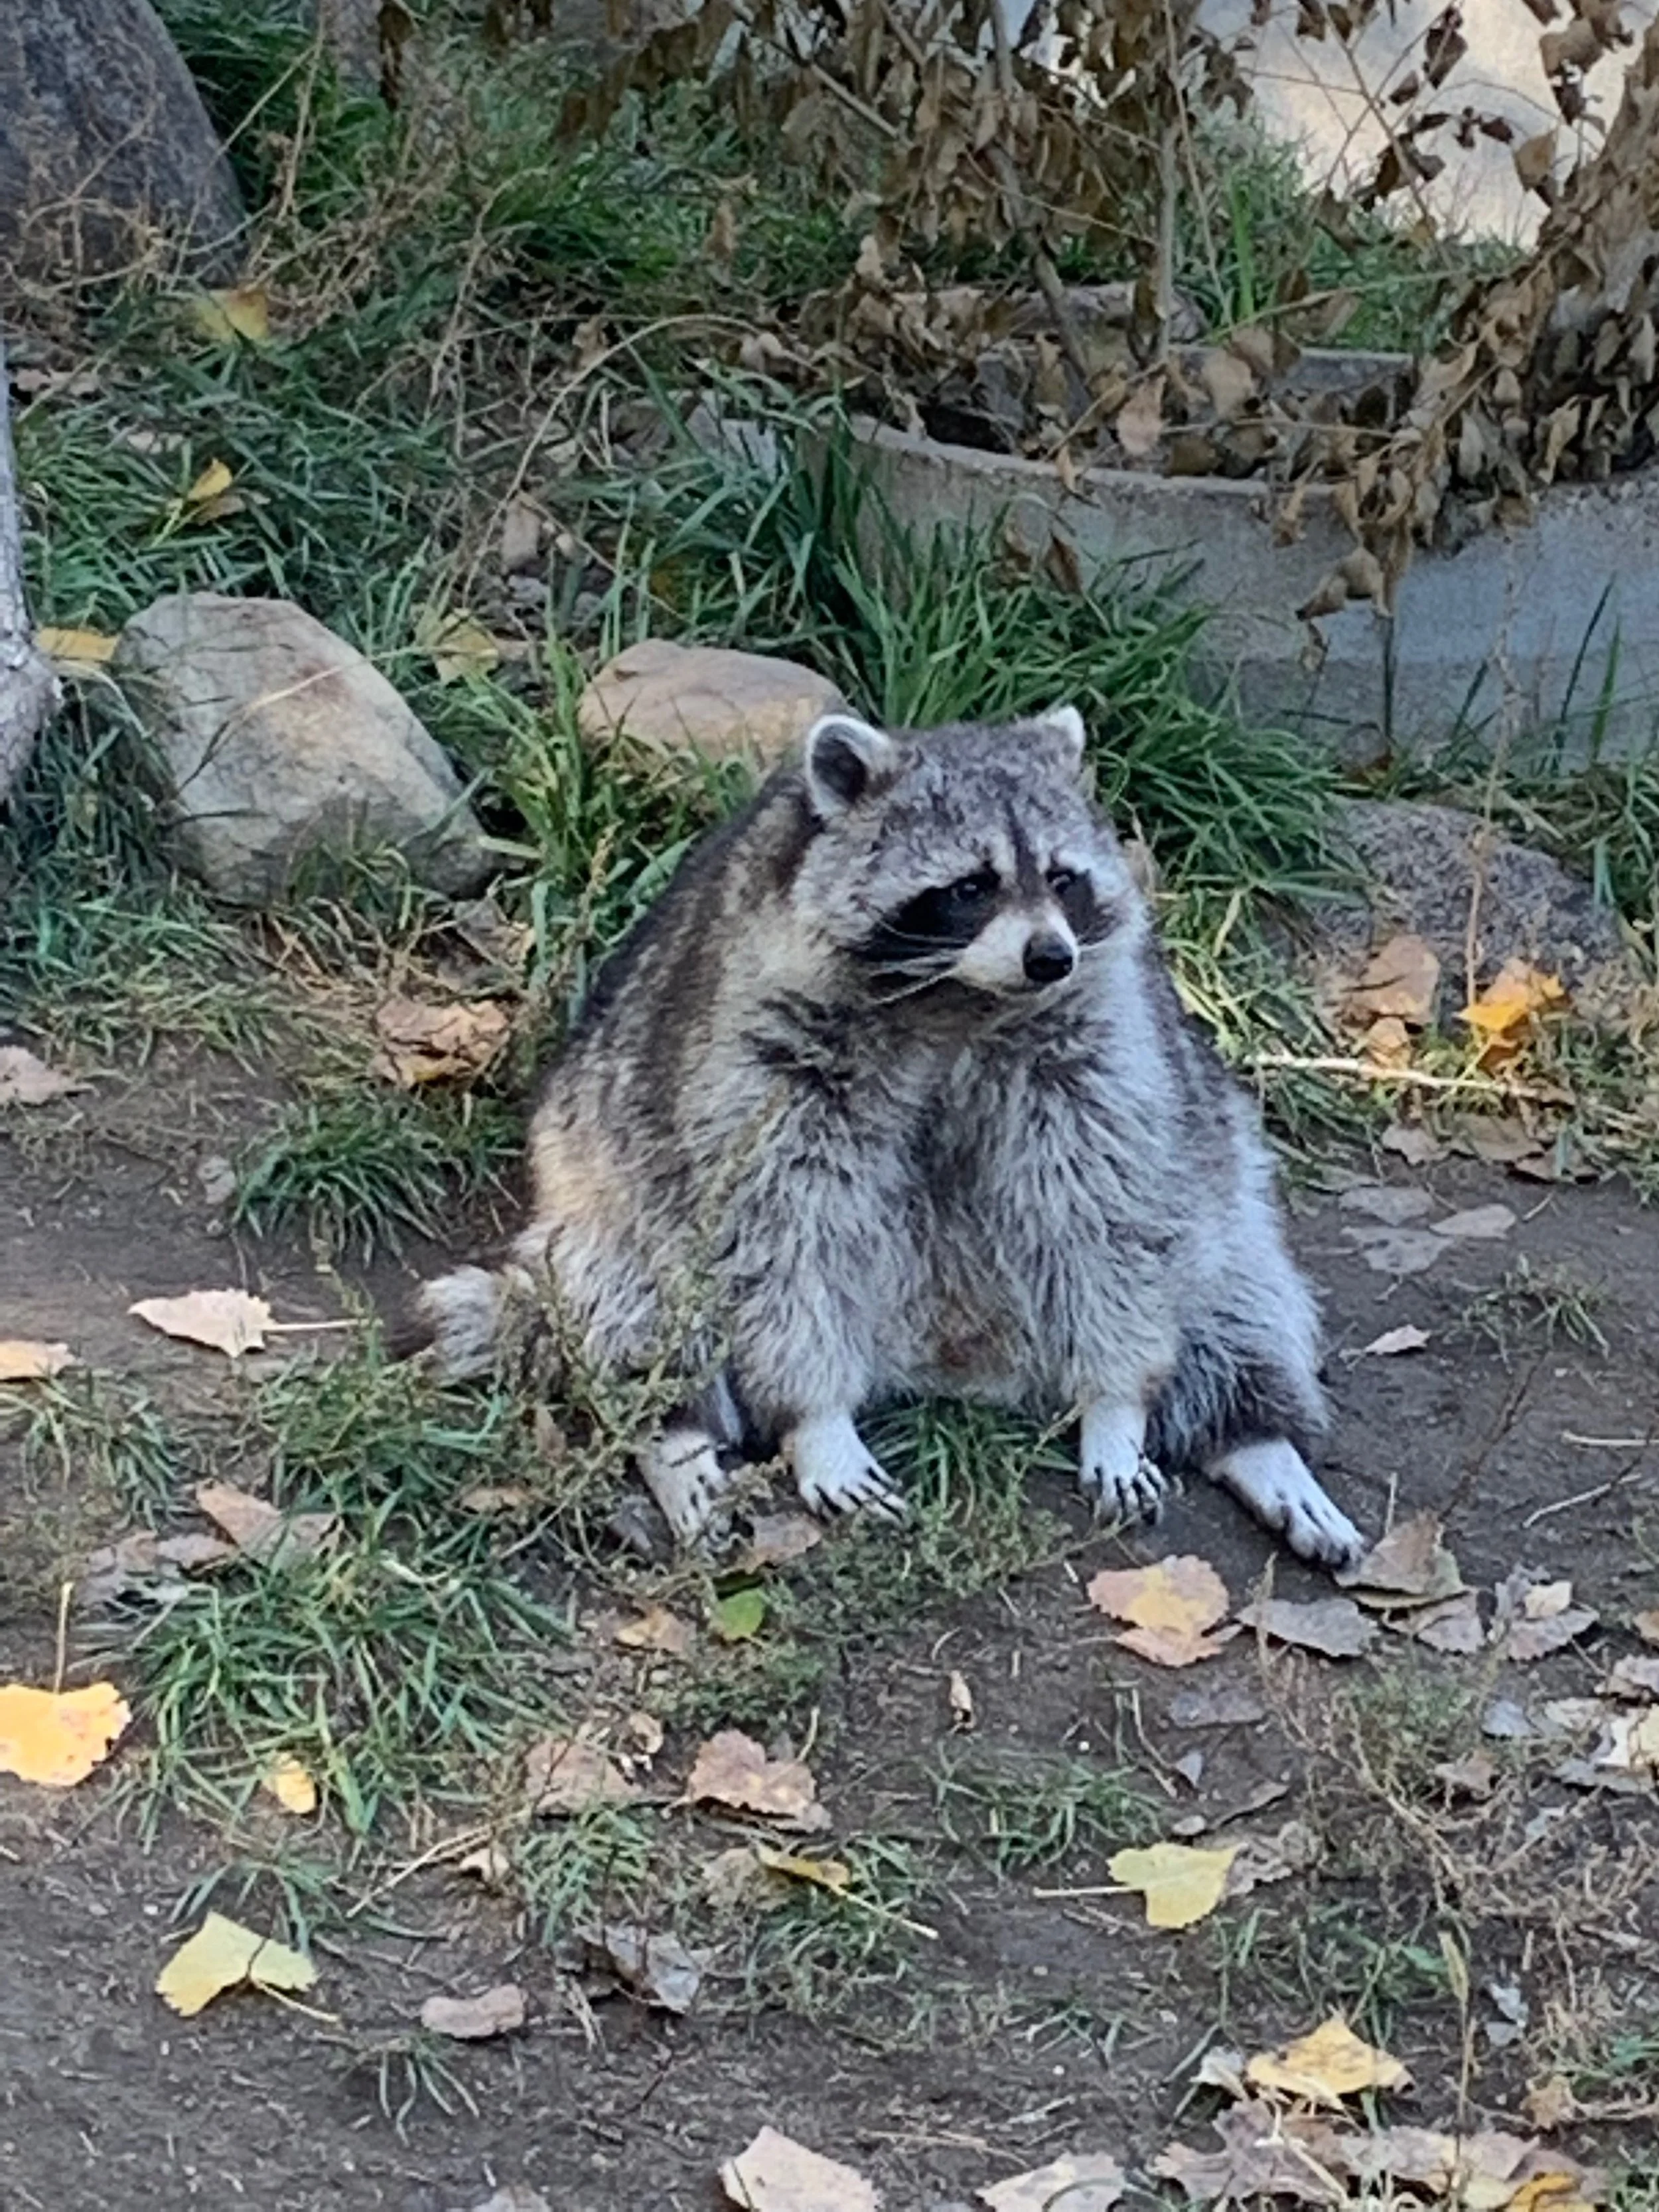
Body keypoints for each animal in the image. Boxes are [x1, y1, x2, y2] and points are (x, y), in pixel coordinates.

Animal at [415, 705, 1365, 1570]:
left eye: (1063, 879)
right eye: (972, 886)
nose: (1050, 957)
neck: (954, 998)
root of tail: (954, 1367)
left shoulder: (1104, 1045)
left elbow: (1103, 1211)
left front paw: (1114, 1406)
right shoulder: (761, 1051)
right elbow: (780, 1235)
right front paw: (816, 1421)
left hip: (1221, 1217)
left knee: (1232, 1299)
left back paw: (1256, 1439)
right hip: (610, 1204)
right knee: (635, 1293)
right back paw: (674, 1435)